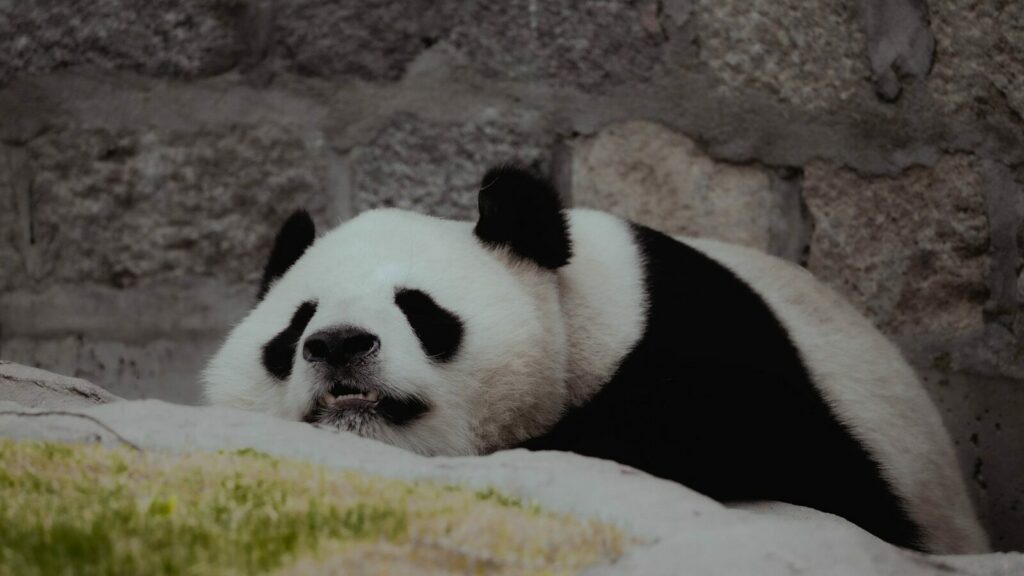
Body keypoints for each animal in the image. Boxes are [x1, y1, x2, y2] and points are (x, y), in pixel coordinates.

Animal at [204, 166, 989, 554]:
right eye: (296, 327)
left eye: (420, 310)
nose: (338, 344)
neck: (584, 313)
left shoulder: (712, 342)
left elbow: (751, 439)